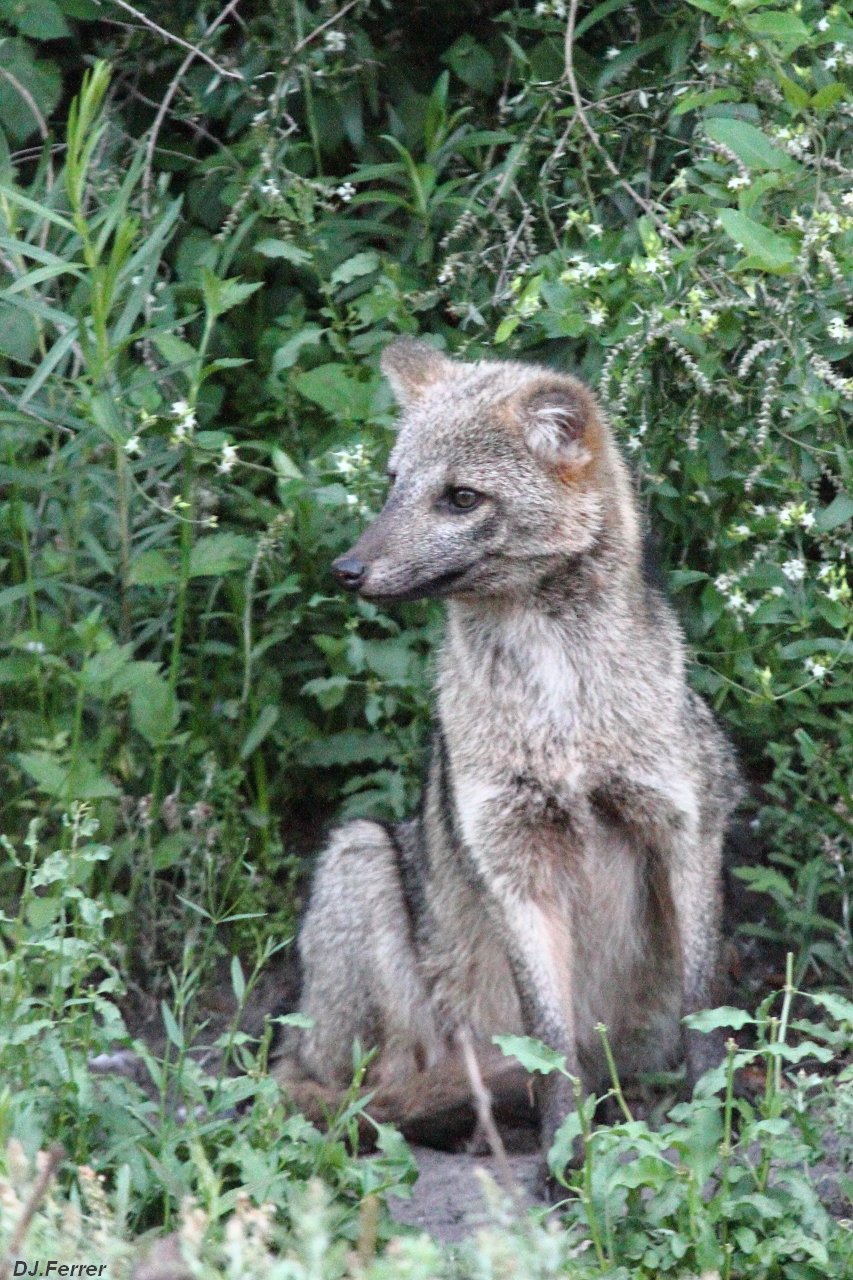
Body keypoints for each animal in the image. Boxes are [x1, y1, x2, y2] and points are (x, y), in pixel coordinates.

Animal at [274, 338, 741, 1172]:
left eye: (460, 498)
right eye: (393, 484)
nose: (346, 570)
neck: (559, 712)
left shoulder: (685, 829)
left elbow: (702, 1015)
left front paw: (710, 1126)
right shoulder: (514, 863)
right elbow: (551, 1045)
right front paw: (566, 1161)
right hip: (360, 854)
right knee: (364, 1097)